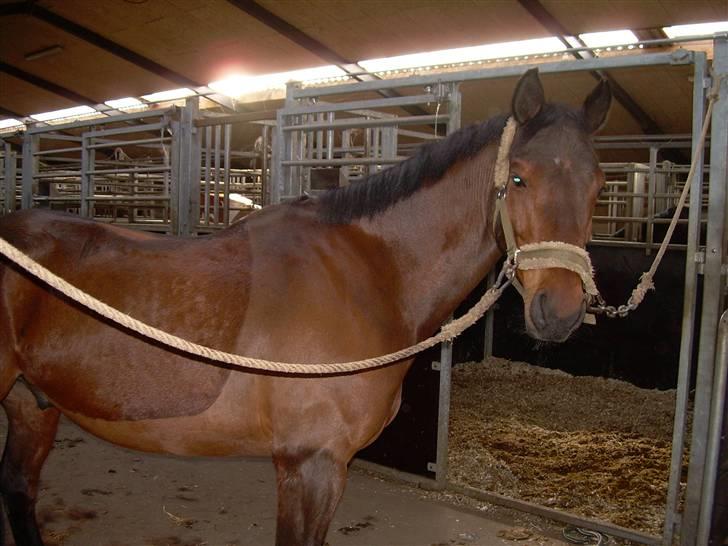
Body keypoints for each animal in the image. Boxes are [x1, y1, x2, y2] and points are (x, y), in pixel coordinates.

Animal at [0, 68, 611, 546]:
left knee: (19, 489)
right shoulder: (309, 463)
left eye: (599, 186)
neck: (365, 274)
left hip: (33, 405)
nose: (559, 310)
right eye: (519, 177)